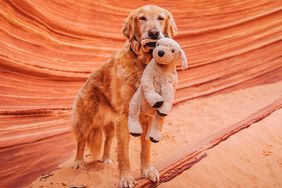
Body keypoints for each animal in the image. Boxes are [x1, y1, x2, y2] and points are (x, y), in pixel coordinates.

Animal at [71, 4, 177, 188]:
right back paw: (78, 162)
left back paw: (106, 159)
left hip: (111, 123)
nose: (154, 33)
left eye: (161, 18)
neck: (144, 64)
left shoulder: (148, 116)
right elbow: (124, 153)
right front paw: (126, 178)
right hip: (87, 118)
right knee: (81, 140)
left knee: (108, 140)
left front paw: (147, 170)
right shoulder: (125, 117)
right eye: (142, 18)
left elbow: (146, 148)